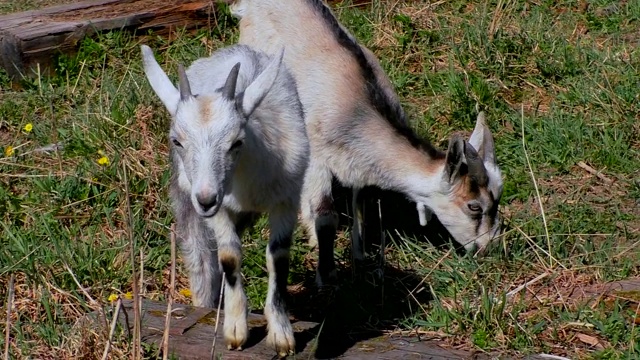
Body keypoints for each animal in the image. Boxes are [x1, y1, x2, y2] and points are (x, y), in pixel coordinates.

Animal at [225, 0, 504, 286]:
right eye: (474, 206)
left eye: (498, 197)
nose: (490, 247)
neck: (357, 112)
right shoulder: (317, 158)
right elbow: (326, 215)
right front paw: (327, 275)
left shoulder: (357, 165)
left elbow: (358, 207)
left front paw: (358, 255)